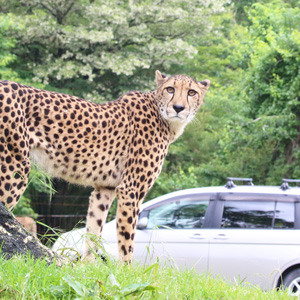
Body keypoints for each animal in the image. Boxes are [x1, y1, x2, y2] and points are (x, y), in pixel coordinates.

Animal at [0, 71, 210, 262]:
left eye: (192, 92)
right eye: (170, 89)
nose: (178, 107)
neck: (164, 118)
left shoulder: (105, 188)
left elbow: (94, 230)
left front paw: (87, 268)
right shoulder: (130, 189)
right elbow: (126, 240)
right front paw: (126, 272)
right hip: (15, 168)